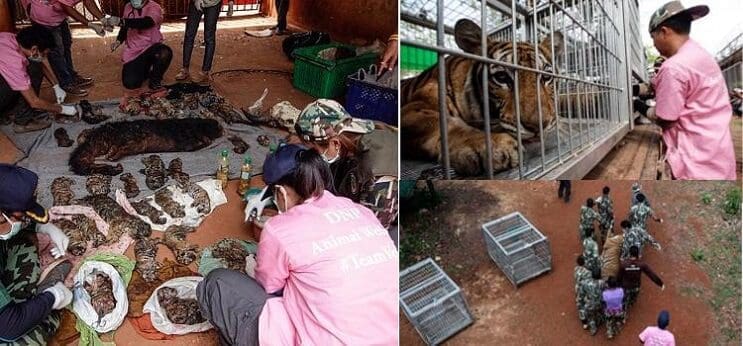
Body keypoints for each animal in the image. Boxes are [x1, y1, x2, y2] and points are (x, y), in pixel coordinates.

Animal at [402, 18, 564, 176]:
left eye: (546, 77)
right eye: (501, 77)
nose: (538, 126)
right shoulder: (414, 108)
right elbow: (445, 123)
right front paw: (490, 146)